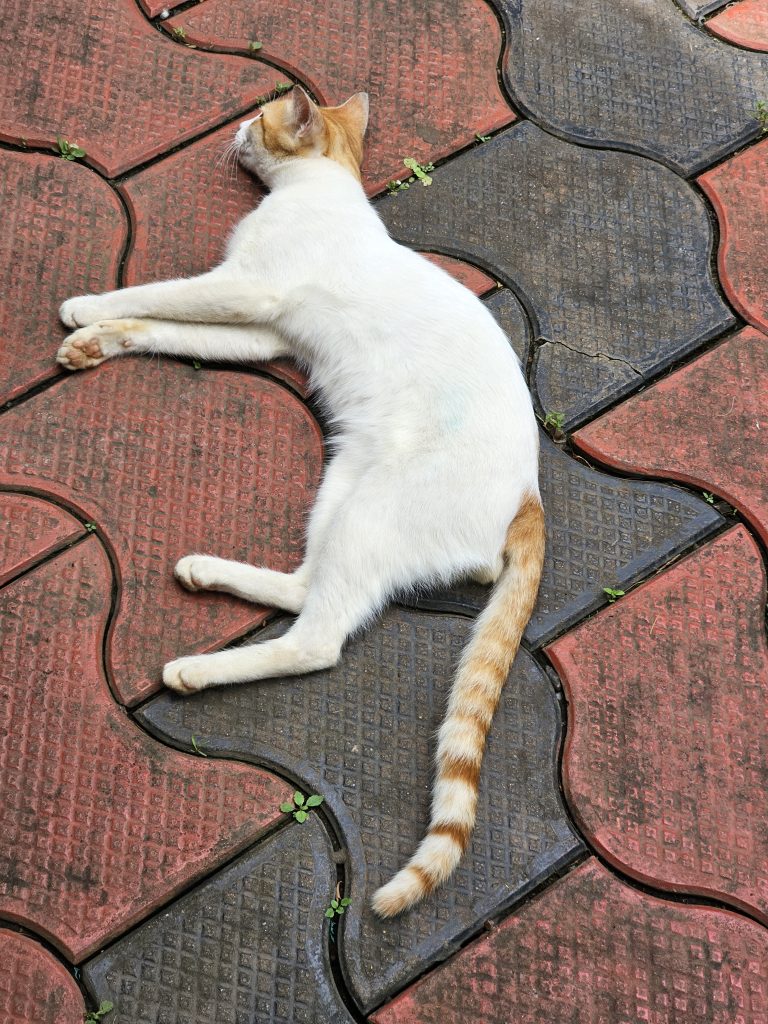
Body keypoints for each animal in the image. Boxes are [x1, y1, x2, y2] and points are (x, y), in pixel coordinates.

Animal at [57, 90, 544, 921]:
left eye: (260, 119)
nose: (233, 126)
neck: (324, 187)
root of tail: (529, 493)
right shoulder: (259, 331)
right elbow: (163, 325)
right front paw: (100, 341)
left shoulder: (243, 287)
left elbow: (152, 294)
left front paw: (85, 308)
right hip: (340, 486)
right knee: (302, 588)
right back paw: (206, 572)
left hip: (368, 512)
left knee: (318, 641)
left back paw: (194, 671)